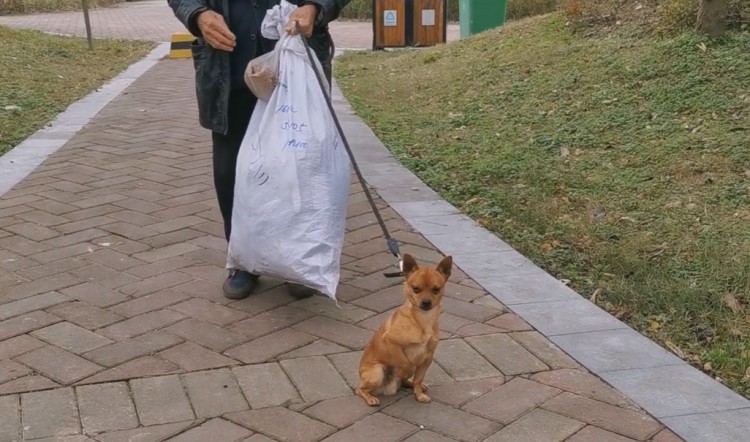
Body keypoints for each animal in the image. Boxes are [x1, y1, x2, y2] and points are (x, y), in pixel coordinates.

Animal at [356, 254, 456, 406]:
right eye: (416, 289)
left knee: (408, 381)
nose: (426, 302)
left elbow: (418, 379)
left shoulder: (427, 358)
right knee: (360, 389)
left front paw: (419, 395)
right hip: (377, 371)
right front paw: (404, 371)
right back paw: (371, 398)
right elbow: (405, 362)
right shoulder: (391, 342)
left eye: (436, 289)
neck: (423, 320)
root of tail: (385, 389)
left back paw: (414, 386)